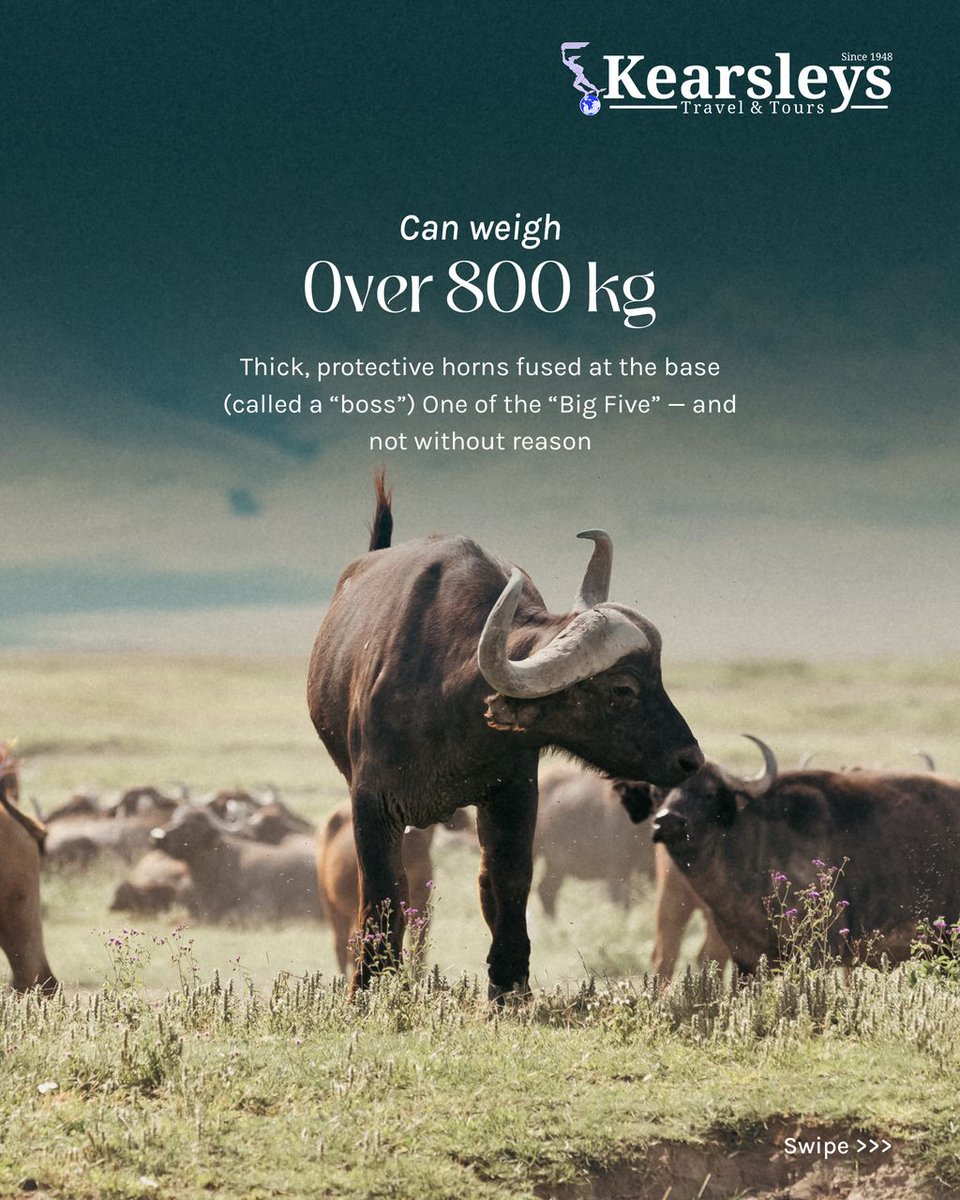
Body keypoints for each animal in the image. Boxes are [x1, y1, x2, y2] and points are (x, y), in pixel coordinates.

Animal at [307, 475, 702, 996]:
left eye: (660, 676)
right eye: (623, 689)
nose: (690, 759)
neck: (450, 695)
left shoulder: (513, 791)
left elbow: (510, 880)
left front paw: (509, 983)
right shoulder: (371, 802)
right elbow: (382, 893)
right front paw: (369, 985)